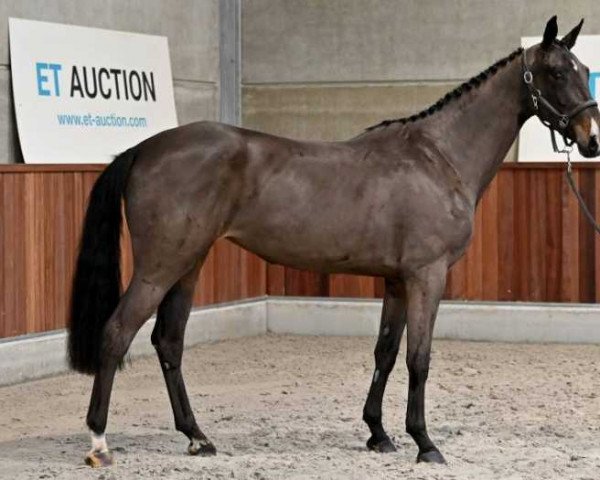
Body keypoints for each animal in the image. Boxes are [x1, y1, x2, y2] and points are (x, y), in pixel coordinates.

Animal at [69, 16, 596, 466]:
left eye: (584, 70)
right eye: (555, 71)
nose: (591, 139)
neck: (438, 158)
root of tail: (144, 148)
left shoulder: (397, 281)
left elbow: (386, 352)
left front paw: (379, 433)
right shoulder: (426, 276)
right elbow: (419, 358)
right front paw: (425, 443)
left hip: (188, 264)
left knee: (168, 341)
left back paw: (198, 437)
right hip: (160, 266)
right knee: (117, 334)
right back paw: (99, 443)